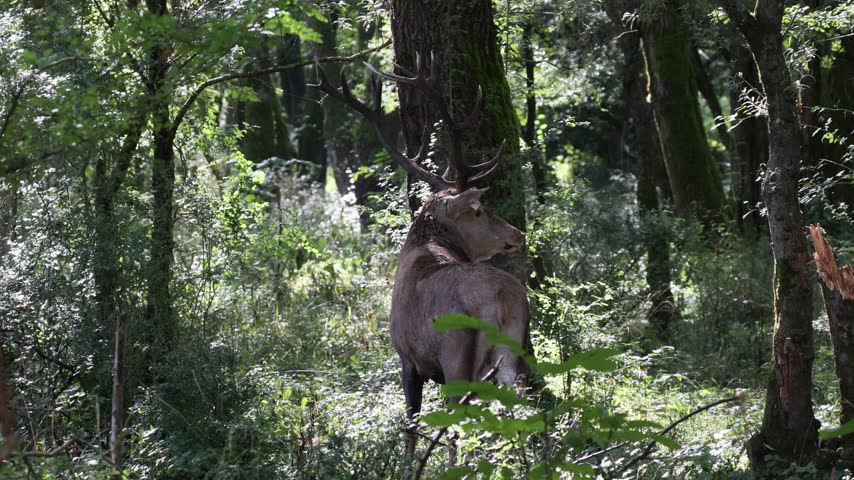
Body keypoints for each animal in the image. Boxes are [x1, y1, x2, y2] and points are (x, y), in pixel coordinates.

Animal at [311, 52, 530, 472]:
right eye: (479, 211)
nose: (517, 233)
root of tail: (500, 300)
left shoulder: (407, 358)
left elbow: (411, 426)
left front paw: (407, 467)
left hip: (458, 357)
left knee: (461, 424)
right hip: (511, 353)